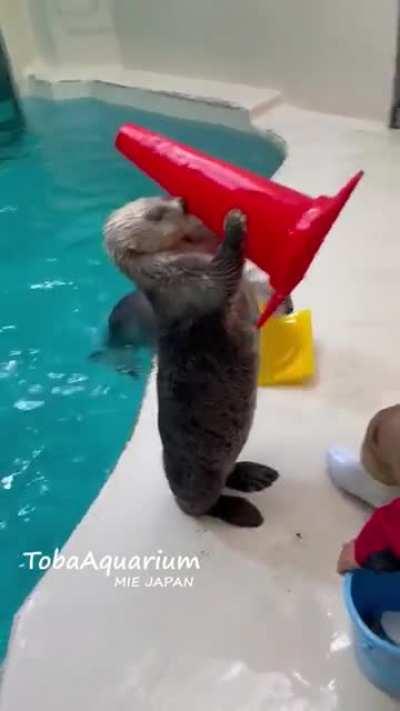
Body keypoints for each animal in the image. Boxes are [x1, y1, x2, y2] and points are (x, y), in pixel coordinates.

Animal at [104, 196, 280, 527]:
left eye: (159, 199)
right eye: (155, 214)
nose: (183, 202)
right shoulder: (192, 279)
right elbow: (226, 269)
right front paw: (234, 222)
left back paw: (255, 476)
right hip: (201, 481)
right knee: (208, 506)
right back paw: (244, 511)